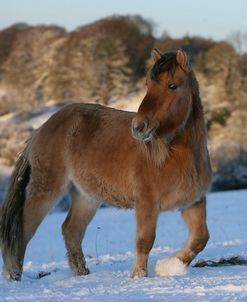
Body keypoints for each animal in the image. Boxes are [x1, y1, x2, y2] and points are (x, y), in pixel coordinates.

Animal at [0, 48, 212, 280]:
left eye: (172, 85)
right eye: (148, 84)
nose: (138, 127)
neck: (171, 157)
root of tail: (41, 128)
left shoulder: (193, 202)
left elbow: (200, 239)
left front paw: (169, 266)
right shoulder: (146, 204)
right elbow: (145, 241)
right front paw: (139, 276)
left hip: (86, 197)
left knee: (71, 230)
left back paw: (82, 273)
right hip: (46, 189)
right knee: (23, 230)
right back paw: (15, 276)